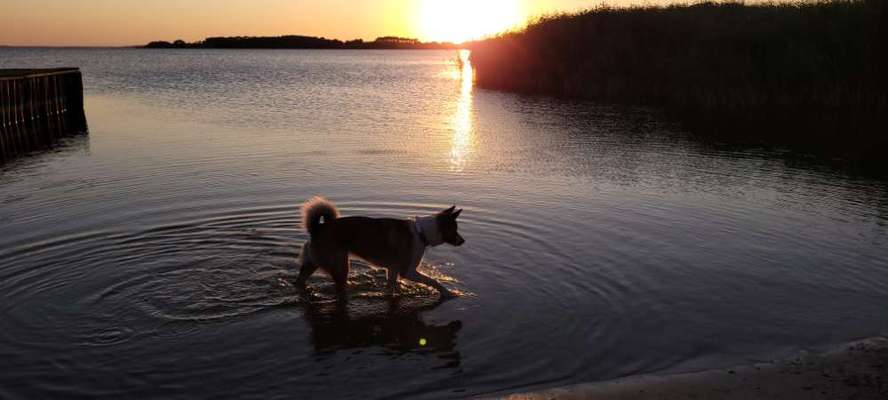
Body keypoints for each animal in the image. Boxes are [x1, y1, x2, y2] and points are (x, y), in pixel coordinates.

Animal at [296, 195, 464, 298]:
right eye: (454, 229)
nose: (463, 241)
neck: (420, 232)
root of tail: (318, 228)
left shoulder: (393, 270)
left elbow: (390, 287)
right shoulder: (407, 271)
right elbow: (433, 281)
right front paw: (448, 293)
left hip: (313, 263)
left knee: (299, 280)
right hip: (340, 266)